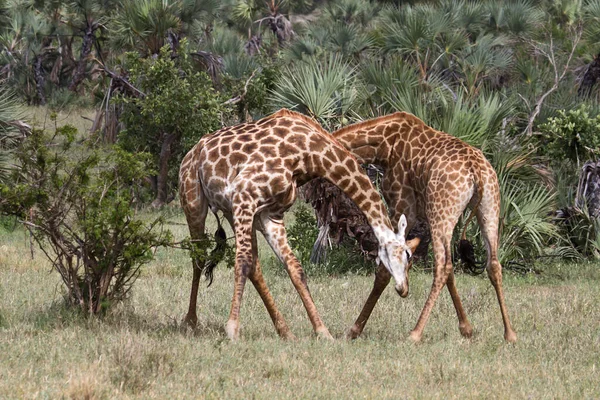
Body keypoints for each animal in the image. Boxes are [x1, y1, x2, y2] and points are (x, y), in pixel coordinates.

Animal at [178, 108, 418, 340]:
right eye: (406, 257)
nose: (404, 289)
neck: (310, 154)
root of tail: (192, 152)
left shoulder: (270, 214)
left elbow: (295, 268)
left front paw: (323, 332)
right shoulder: (245, 194)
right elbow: (242, 261)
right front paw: (232, 328)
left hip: (233, 211)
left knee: (254, 264)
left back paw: (285, 331)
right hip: (194, 201)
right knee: (199, 257)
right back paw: (189, 322)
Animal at [330, 111, 516, 342]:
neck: (383, 145)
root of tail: (477, 172)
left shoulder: (403, 205)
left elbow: (383, 270)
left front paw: (354, 330)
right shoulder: (422, 213)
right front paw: (466, 328)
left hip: (442, 211)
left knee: (442, 266)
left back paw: (415, 333)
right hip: (488, 208)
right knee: (492, 265)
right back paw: (510, 333)